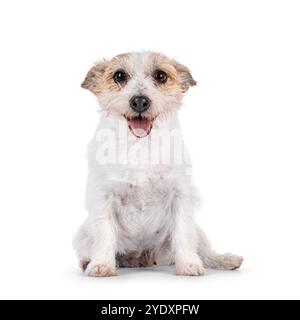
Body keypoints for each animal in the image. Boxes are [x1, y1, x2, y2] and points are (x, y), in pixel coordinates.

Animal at [73, 51, 244, 276]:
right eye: (119, 76)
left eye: (160, 75)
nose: (139, 102)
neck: (140, 146)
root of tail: (140, 259)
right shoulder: (103, 197)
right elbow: (105, 232)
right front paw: (101, 264)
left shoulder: (180, 195)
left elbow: (183, 234)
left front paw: (188, 264)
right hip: (83, 233)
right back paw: (90, 261)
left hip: (197, 231)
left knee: (205, 250)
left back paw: (225, 259)